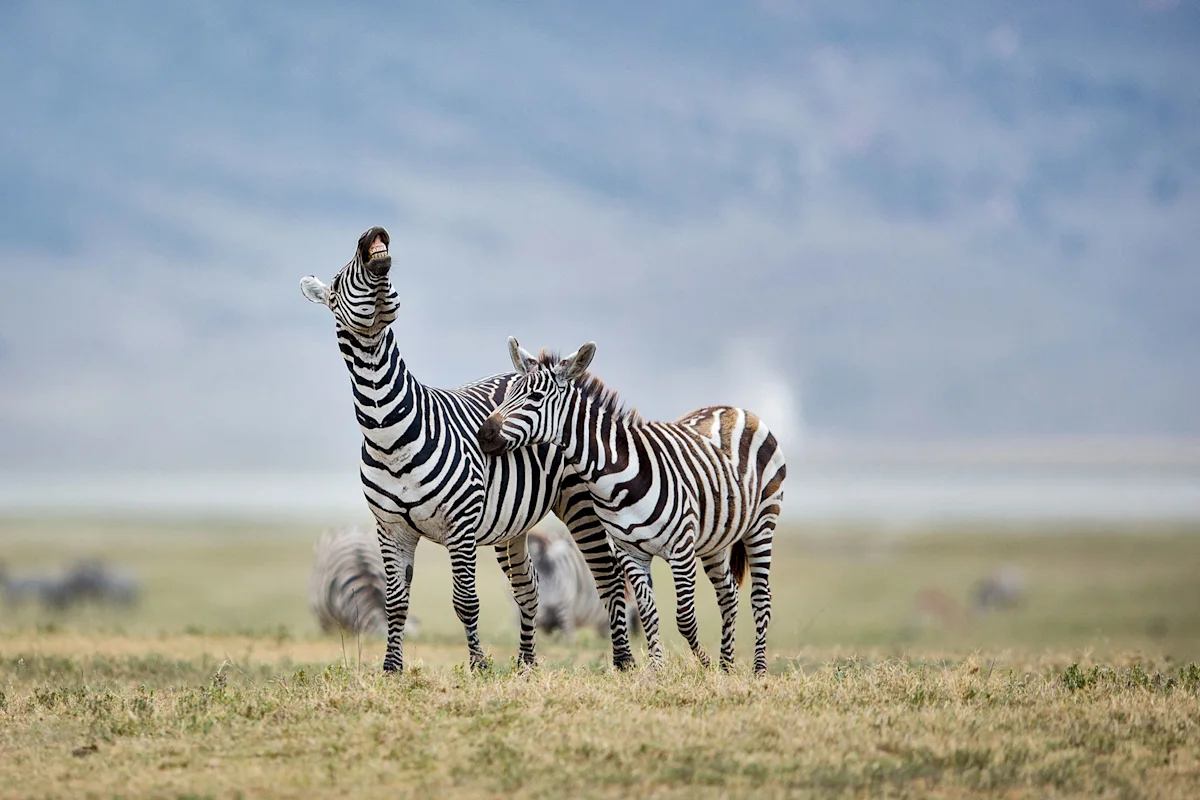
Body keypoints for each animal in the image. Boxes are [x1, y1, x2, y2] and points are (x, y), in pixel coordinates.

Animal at [299, 226, 633, 673]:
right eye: (337, 282)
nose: (372, 234)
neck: (389, 431)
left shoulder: (460, 525)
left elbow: (465, 602)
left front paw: (477, 666)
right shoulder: (391, 528)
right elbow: (395, 603)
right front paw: (391, 669)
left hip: (581, 501)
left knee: (608, 577)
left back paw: (623, 660)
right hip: (513, 524)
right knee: (528, 588)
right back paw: (526, 664)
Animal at [477, 338, 787, 674]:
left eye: (535, 397)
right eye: (509, 392)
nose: (484, 434)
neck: (617, 476)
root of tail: (735, 409)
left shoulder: (681, 549)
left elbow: (684, 618)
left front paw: (702, 664)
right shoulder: (631, 553)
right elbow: (648, 612)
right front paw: (658, 670)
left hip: (762, 525)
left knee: (761, 599)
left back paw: (758, 669)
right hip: (714, 538)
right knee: (728, 593)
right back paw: (727, 667)